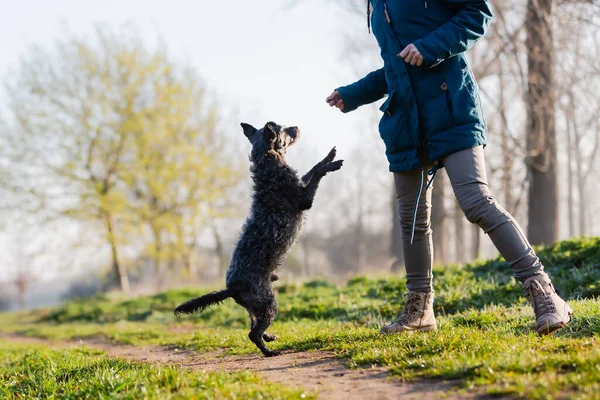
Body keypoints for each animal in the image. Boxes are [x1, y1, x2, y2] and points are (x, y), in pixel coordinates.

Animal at [173, 119, 342, 356]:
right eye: (282, 129)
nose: (297, 127)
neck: (268, 162)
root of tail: (231, 288)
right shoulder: (304, 200)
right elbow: (316, 173)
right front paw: (331, 165)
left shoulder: (301, 183)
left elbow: (311, 170)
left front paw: (330, 155)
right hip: (268, 303)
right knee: (253, 333)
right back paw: (269, 350)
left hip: (256, 306)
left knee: (254, 324)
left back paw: (269, 337)